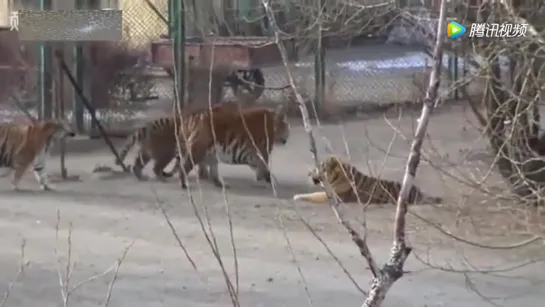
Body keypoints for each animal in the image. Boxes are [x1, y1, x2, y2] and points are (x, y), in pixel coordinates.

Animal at [117, 102, 292, 189]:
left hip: (203, 151)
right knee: (179, 167)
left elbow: (258, 165)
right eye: (286, 127)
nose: (288, 137)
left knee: (139, 163)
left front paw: (263, 177)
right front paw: (267, 178)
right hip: (187, 151)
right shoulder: (261, 150)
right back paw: (183, 184)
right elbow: (263, 164)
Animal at [292, 158, 440, 206]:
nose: (308, 173)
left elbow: (314, 195)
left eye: (319, 167)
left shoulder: (335, 197)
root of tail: (421, 193)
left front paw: (297, 196)